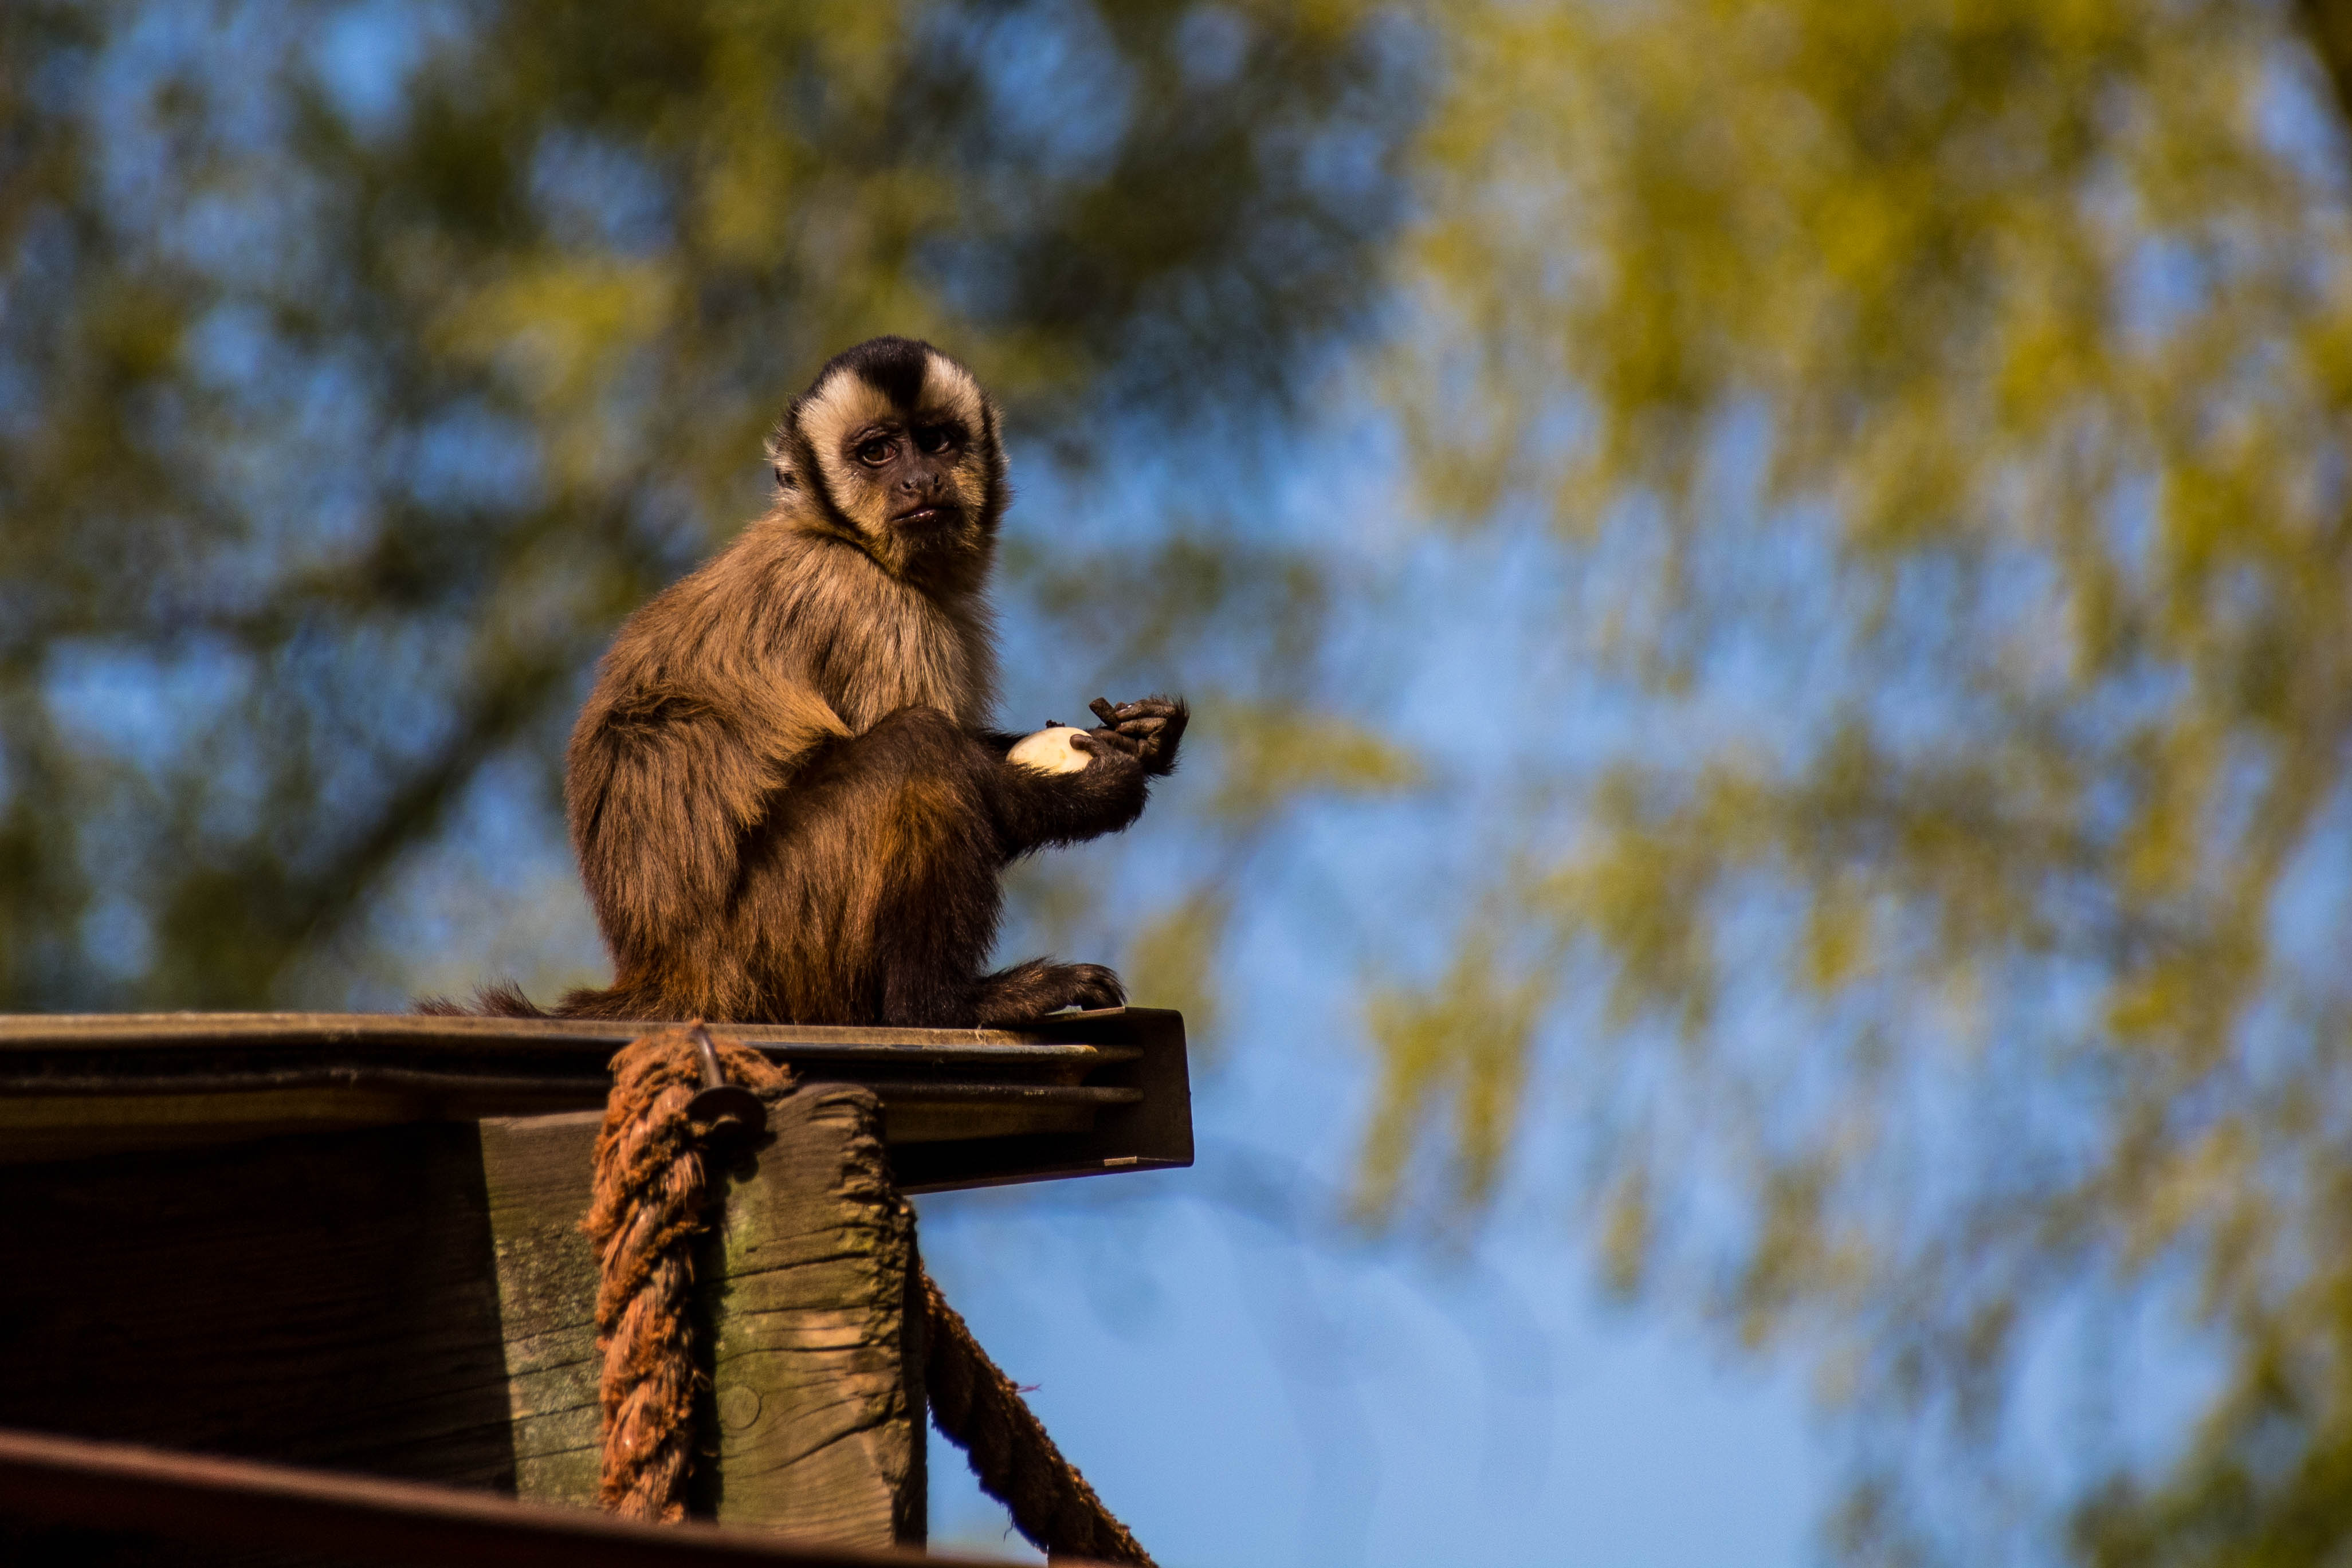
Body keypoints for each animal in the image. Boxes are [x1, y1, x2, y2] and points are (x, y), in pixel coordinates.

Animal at [435, 333, 1185, 1029]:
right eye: (877, 453)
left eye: (936, 441)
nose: (920, 480)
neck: (843, 540)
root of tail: (670, 975)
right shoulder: (868, 607)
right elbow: (978, 780)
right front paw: (1096, 793)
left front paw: (1145, 740)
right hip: (773, 947)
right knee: (919, 747)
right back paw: (942, 1005)